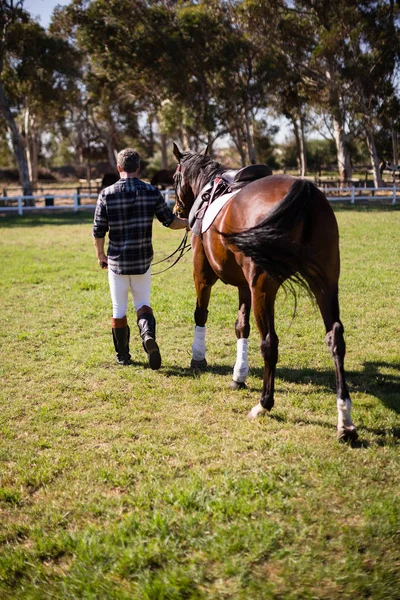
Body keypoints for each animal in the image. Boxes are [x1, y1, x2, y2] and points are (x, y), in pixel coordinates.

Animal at [173, 141, 358, 440]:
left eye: (175, 177)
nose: (177, 210)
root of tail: (303, 192)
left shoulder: (203, 273)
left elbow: (201, 314)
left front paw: (198, 358)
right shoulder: (244, 285)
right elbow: (241, 326)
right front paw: (239, 375)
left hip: (264, 287)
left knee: (270, 342)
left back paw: (264, 404)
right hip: (326, 282)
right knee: (335, 339)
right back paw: (345, 420)